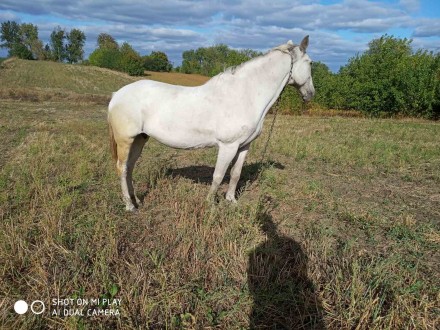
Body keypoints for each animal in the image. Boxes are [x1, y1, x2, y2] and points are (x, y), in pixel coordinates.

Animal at [108, 36, 314, 211]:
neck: (245, 94)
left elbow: (235, 174)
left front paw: (231, 201)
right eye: (310, 63)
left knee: (130, 167)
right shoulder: (228, 146)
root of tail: (117, 95)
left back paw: (137, 199)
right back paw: (130, 206)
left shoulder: (244, 146)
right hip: (126, 140)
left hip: (140, 139)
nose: (311, 93)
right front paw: (210, 204)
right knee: (122, 168)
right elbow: (218, 176)